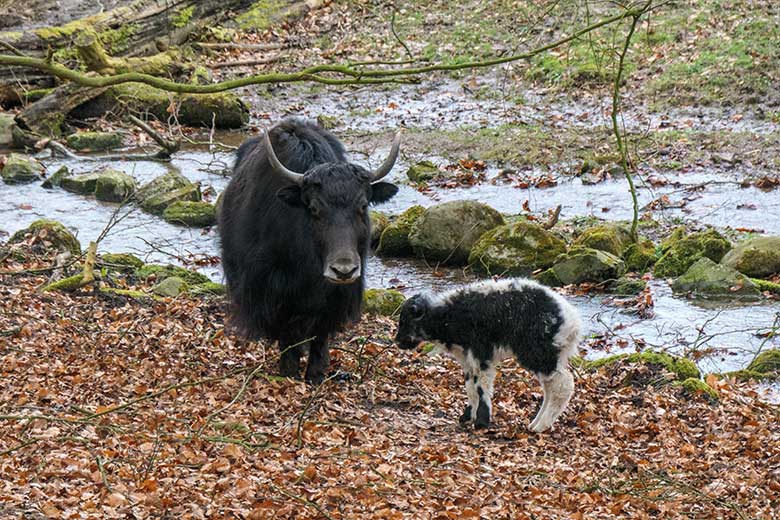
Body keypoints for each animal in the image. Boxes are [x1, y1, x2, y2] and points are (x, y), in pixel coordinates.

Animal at [396, 278, 580, 432]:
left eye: (405, 321)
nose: (397, 342)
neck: (449, 316)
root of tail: (572, 321)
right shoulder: (467, 358)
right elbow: (470, 387)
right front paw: (468, 416)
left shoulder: (480, 353)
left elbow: (481, 386)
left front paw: (481, 422)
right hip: (548, 354)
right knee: (551, 387)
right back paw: (535, 423)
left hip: (538, 352)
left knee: (563, 385)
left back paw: (541, 426)